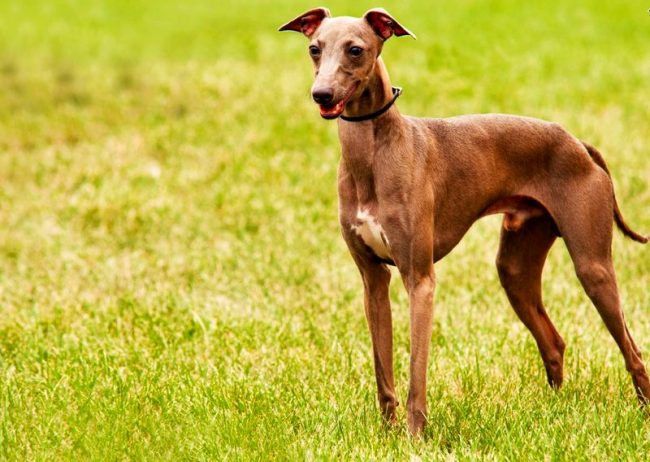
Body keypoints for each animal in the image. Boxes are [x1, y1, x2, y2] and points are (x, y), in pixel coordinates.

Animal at [278, 6, 648, 434]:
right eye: (314, 48)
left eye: (356, 50)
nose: (322, 94)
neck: (372, 154)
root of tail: (578, 144)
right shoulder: (373, 280)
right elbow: (383, 369)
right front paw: (386, 434)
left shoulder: (420, 279)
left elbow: (416, 370)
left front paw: (414, 436)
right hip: (515, 269)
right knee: (554, 341)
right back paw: (556, 411)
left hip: (593, 266)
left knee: (633, 351)